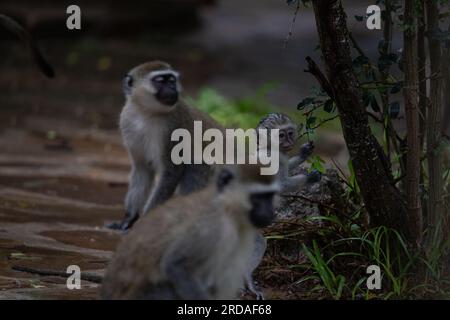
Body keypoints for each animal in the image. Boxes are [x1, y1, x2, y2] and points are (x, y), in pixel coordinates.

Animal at [107, 60, 223, 230]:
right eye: (161, 81)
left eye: (172, 80)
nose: (173, 89)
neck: (146, 113)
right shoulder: (127, 121)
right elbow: (142, 170)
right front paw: (128, 218)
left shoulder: (173, 128)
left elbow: (171, 172)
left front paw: (145, 222)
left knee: (197, 166)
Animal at [244, 112, 322, 298]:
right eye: (281, 135)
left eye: (290, 133)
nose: (289, 142)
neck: (269, 148)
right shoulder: (273, 160)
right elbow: (280, 185)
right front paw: (310, 178)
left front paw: (303, 153)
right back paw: (248, 279)